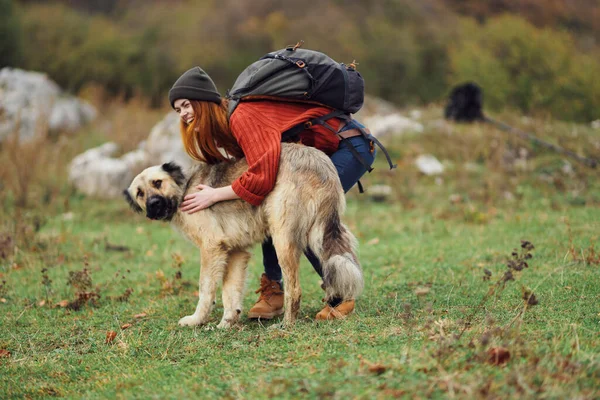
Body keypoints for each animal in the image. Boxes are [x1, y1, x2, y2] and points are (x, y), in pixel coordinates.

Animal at [123, 144, 360, 328]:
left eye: (157, 183)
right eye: (139, 193)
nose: (154, 205)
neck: (185, 188)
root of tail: (320, 162)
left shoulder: (211, 248)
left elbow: (206, 289)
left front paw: (197, 320)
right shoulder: (235, 252)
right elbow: (230, 291)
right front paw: (226, 322)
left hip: (283, 238)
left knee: (294, 289)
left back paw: (286, 325)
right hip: (321, 233)